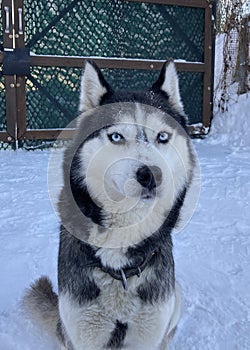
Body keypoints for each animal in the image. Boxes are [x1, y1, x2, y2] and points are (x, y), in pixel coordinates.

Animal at [23, 60, 195, 350]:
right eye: (116, 136)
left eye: (162, 137)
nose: (152, 174)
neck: (119, 269)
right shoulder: (85, 330)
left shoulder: (148, 332)